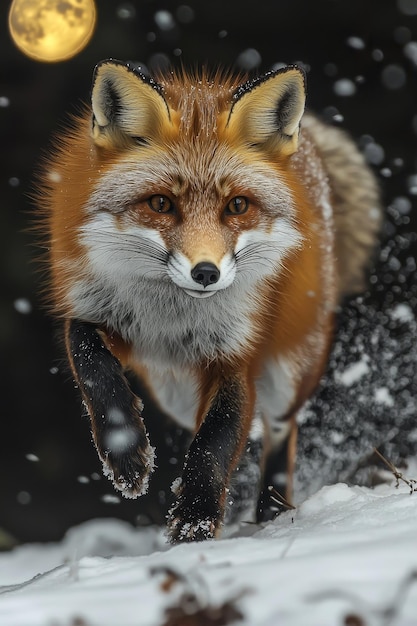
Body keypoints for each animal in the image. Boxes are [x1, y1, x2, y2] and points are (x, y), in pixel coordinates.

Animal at [38, 62, 380, 540]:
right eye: (161, 203)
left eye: (237, 205)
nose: (206, 273)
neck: (169, 317)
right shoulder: (94, 310)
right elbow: (90, 362)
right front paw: (125, 451)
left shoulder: (235, 354)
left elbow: (216, 441)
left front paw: (194, 522)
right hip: (174, 393)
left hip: (287, 375)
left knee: (279, 428)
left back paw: (273, 512)